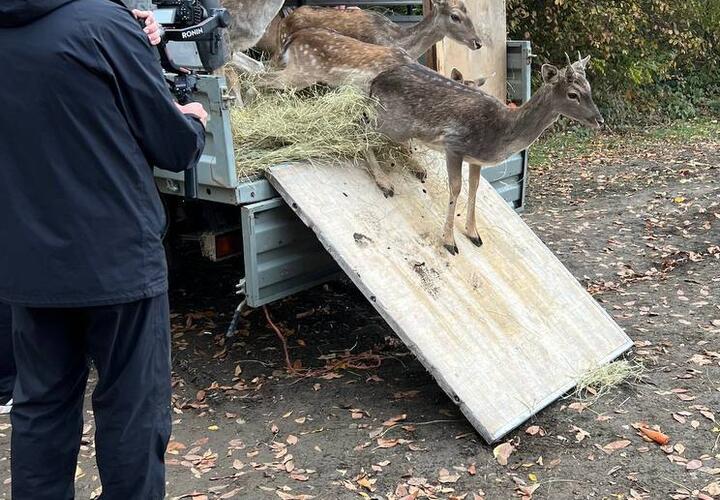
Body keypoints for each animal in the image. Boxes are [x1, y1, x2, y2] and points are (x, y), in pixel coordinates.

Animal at [368, 54, 604, 254]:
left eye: (590, 89)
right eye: (572, 94)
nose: (599, 120)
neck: (500, 134)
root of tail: (374, 82)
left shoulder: (476, 159)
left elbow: (474, 187)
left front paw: (474, 234)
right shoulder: (454, 144)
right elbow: (456, 188)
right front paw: (449, 241)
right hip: (390, 122)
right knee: (364, 133)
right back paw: (384, 183)